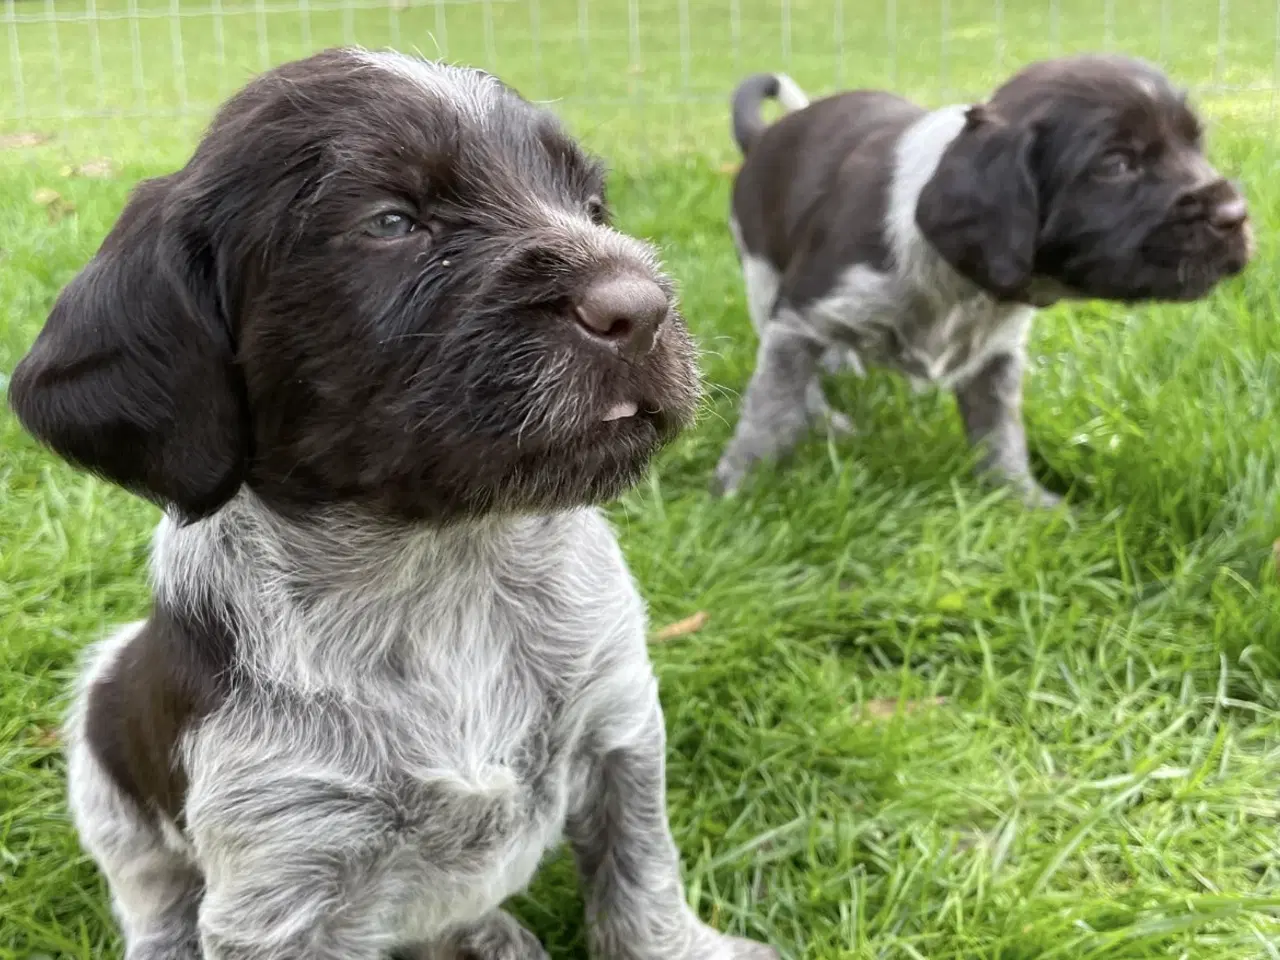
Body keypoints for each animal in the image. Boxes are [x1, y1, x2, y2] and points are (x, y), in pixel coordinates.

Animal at [10, 48, 773, 960]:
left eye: (593, 207)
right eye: (391, 223)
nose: (645, 309)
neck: (448, 571)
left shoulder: (620, 723)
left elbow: (641, 876)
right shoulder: (285, 881)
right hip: (104, 771)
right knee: (152, 898)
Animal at [716, 54, 1254, 504]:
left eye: (1196, 144)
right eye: (1116, 164)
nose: (1236, 214)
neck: (964, 289)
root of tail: (765, 137)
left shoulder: (996, 356)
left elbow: (1001, 435)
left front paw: (1022, 501)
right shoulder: (802, 314)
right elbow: (771, 409)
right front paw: (738, 488)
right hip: (763, 278)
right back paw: (825, 419)